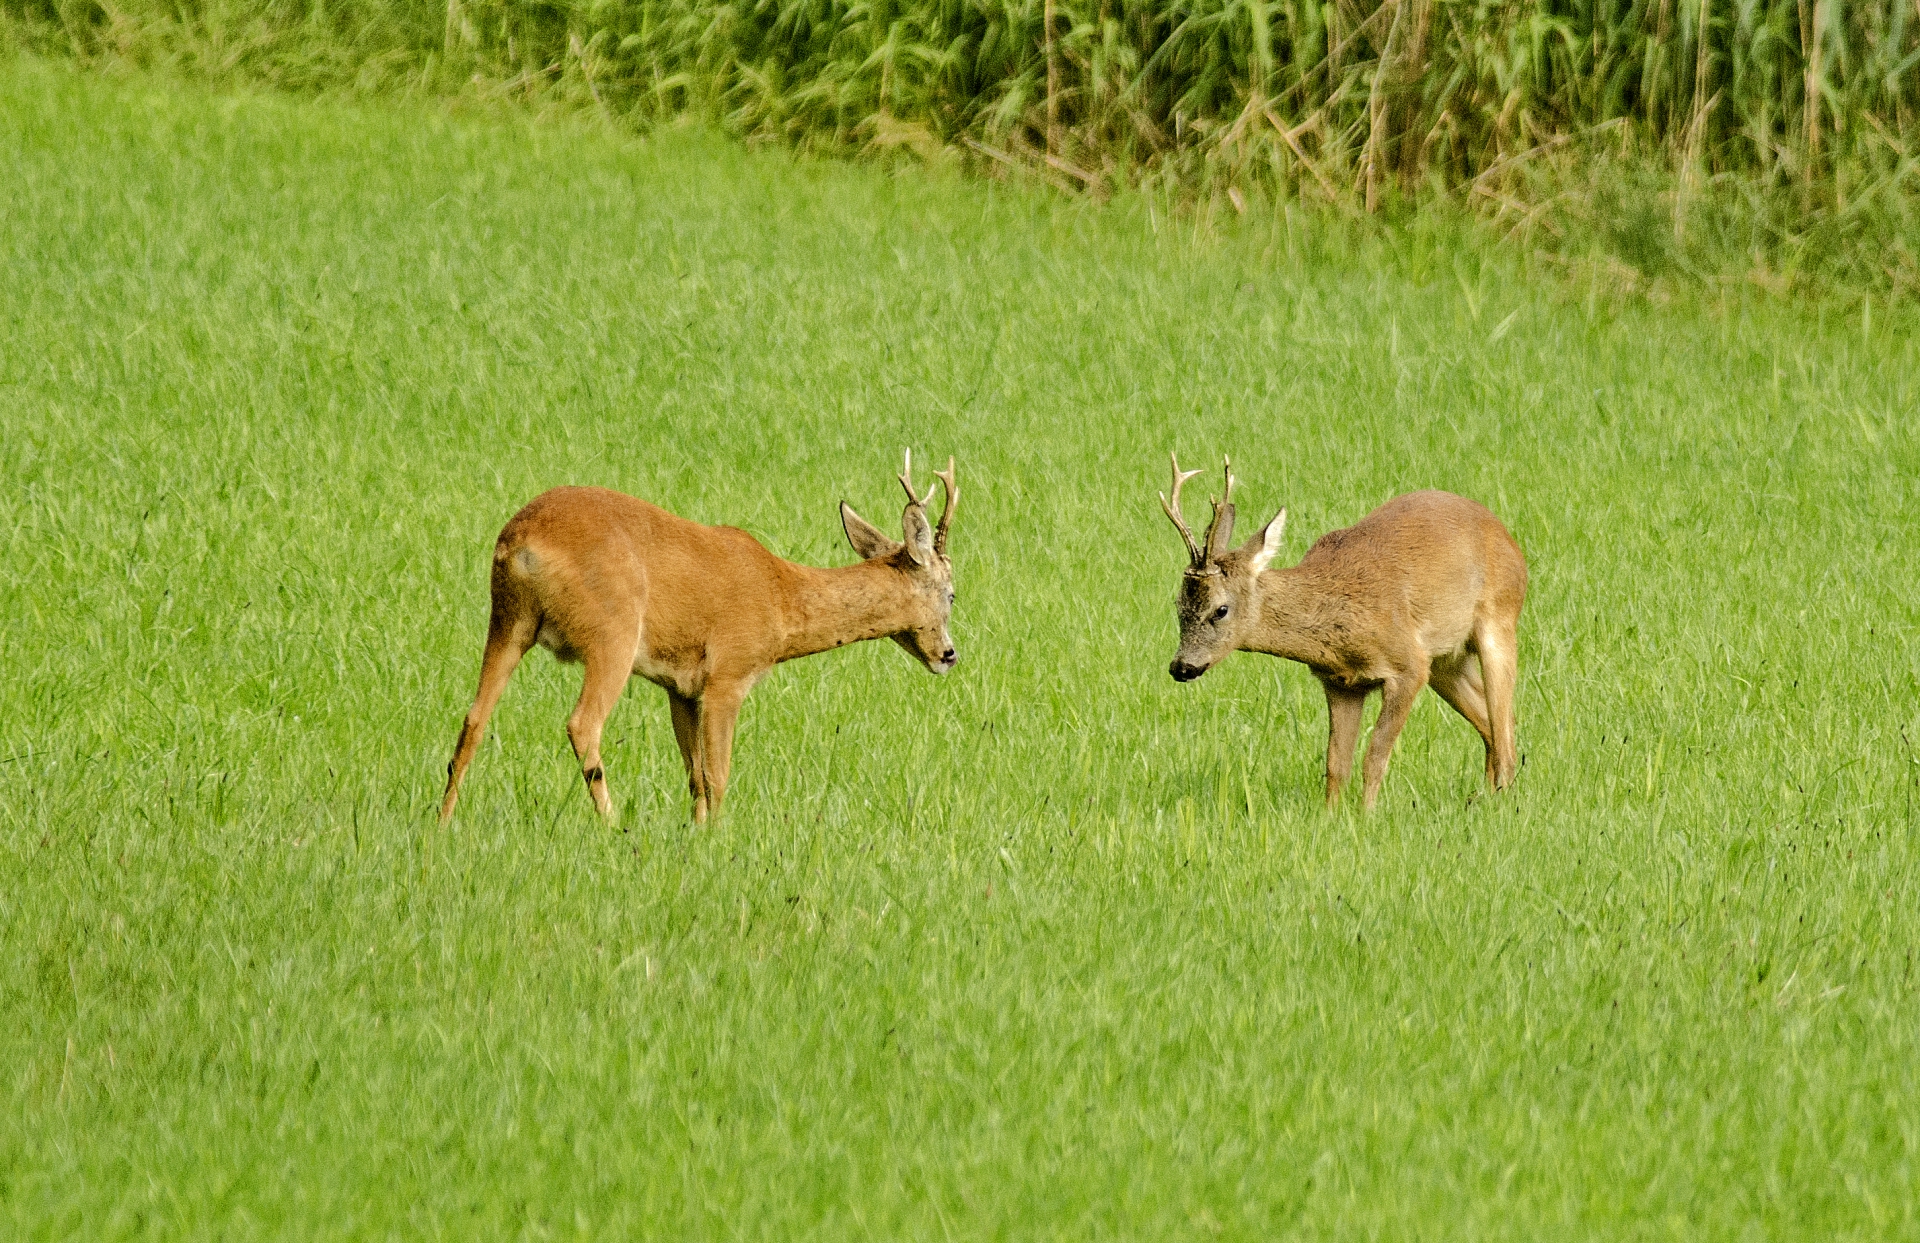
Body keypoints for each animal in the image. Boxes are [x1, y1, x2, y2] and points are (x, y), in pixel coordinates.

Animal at [443, 451, 967, 822]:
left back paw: (441, 823)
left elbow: (693, 775)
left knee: (473, 719)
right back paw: (612, 826)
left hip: (508, 621)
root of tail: (520, 541)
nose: (949, 654)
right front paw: (718, 841)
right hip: (612, 631)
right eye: (952, 593)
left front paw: (695, 837)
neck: (781, 598)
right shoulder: (726, 676)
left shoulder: (680, 687)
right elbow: (717, 774)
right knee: (582, 724)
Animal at [1152, 451, 1528, 810]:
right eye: (1177, 604)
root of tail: (1508, 537)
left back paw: (1503, 800)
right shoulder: (1340, 683)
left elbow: (1374, 758)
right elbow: (1336, 765)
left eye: (1221, 609)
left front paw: (1366, 817)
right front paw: (1331, 818)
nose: (1181, 667)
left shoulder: (1409, 666)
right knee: (1493, 722)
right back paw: (1482, 795)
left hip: (1499, 618)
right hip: (1446, 660)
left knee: (1504, 725)